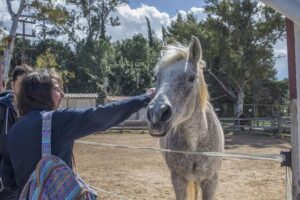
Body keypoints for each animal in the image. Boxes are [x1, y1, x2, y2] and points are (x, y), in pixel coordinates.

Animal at [146, 36, 224, 200]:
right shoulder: (178, 180)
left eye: (192, 77)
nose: (157, 113)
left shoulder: (211, 180)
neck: (195, 144)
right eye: (156, 77)